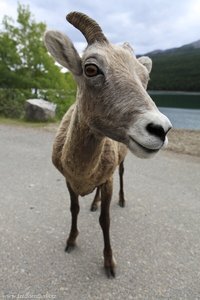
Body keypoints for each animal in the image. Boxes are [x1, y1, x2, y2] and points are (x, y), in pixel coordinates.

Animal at [44, 12, 172, 278]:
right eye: (91, 68)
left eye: (145, 79)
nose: (160, 129)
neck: (82, 171)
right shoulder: (69, 181)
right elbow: (74, 209)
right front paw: (71, 242)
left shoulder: (108, 180)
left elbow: (105, 220)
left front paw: (109, 264)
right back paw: (93, 204)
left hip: (120, 166)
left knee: (122, 176)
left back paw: (121, 201)